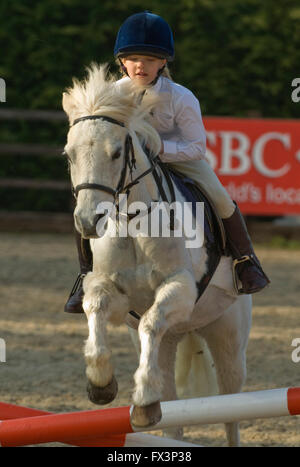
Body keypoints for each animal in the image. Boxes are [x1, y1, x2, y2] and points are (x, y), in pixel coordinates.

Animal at [62, 64, 252, 448]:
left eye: (116, 153)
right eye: (69, 155)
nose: (88, 221)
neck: (133, 221)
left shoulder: (180, 288)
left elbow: (151, 320)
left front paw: (135, 395)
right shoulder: (110, 290)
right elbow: (95, 307)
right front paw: (101, 384)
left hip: (228, 336)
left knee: (231, 409)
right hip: (171, 341)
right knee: (171, 408)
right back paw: (151, 407)